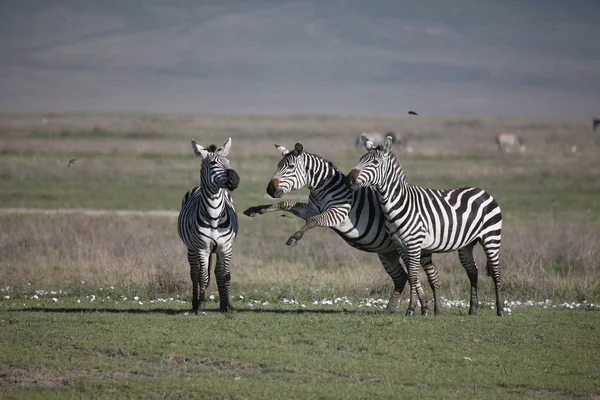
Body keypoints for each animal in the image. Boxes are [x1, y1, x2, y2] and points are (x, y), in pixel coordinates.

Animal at [177, 139, 240, 314]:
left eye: (228, 161)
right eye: (212, 163)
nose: (235, 179)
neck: (214, 216)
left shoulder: (226, 247)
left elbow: (225, 276)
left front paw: (228, 306)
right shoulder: (202, 248)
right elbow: (203, 277)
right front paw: (200, 306)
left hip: (218, 249)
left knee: (217, 273)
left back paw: (223, 304)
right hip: (191, 248)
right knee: (194, 273)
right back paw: (194, 303)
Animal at [244, 142, 446, 314]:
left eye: (291, 167)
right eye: (278, 165)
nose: (270, 189)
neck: (322, 189)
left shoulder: (338, 213)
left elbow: (314, 221)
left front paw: (295, 237)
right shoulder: (310, 208)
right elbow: (285, 203)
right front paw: (255, 209)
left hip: (418, 248)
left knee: (427, 275)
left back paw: (432, 309)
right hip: (388, 252)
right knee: (403, 277)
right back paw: (393, 309)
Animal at [344, 134, 504, 316]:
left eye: (375, 163)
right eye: (360, 160)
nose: (349, 180)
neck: (399, 202)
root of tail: (483, 192)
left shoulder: (414, 244)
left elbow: (413, 275)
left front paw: (411, 308)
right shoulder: (401, 245)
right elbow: (412, 276)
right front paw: (416, 307)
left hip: (491, 237)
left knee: (496, 272)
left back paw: (500, 309)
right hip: (466, 244)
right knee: (472, 271)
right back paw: (473, 309)